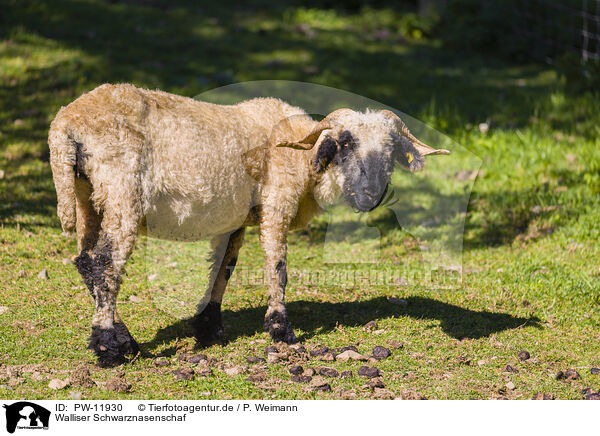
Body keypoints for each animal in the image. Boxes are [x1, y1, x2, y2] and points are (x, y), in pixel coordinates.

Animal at [48, 83, 450, 366]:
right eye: (345, 144)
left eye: (391, 151)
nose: (370, 195)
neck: (299, 153)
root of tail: (66, 126)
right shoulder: (276, 203)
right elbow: (278, 268)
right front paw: (281, 332)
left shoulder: (237, 218)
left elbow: (223, 269)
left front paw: (210, 327)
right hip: (121, 190)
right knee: (105, 264)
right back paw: (109, 349)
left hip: (87, 195)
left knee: (86, 261)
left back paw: (123, 338)